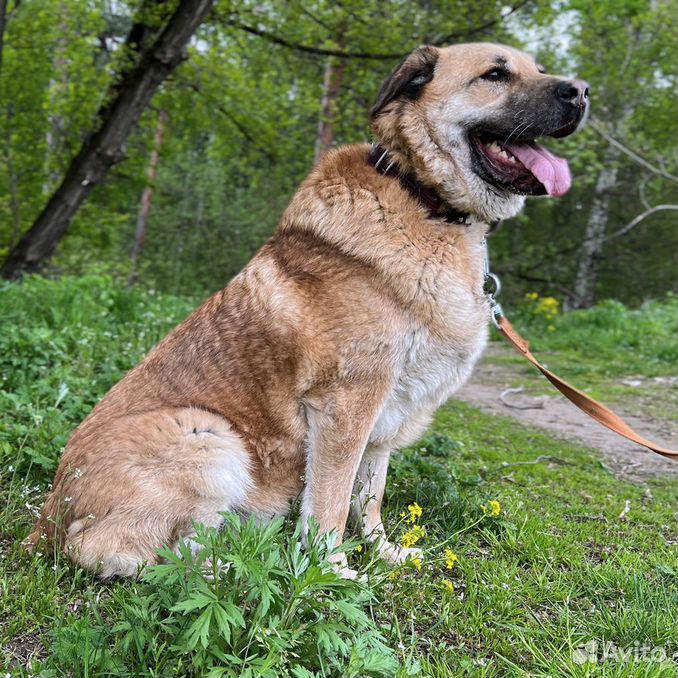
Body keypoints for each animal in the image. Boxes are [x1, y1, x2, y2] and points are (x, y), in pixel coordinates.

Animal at [29, 41, 588, 580]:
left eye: (539, 69)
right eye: (495, 74)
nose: (581, 92)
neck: (422, 198)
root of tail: (48, 520)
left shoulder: (385, 415)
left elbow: (370, 496)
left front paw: (382, 552)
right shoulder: (346, 406)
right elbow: (330, 505)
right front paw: (332, 572)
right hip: (208, 437)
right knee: (123, 553)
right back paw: (230, 571)